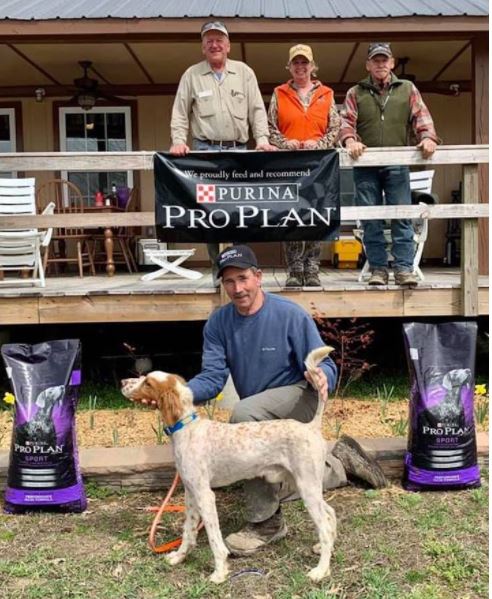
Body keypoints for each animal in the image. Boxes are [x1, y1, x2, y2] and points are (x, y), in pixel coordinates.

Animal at [120, 350, 334, 584]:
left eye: (148, 382)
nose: (122, 381)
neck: (188, 428)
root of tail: (311, 426)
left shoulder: (205, 495)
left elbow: (214, 539)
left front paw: (219, 572)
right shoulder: (190, 493)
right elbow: (188, 532)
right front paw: (179, 556)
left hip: (307, 487)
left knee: (324, 527)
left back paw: (321, 570)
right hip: (305, 485)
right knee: (330, 514)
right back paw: (323, 549)